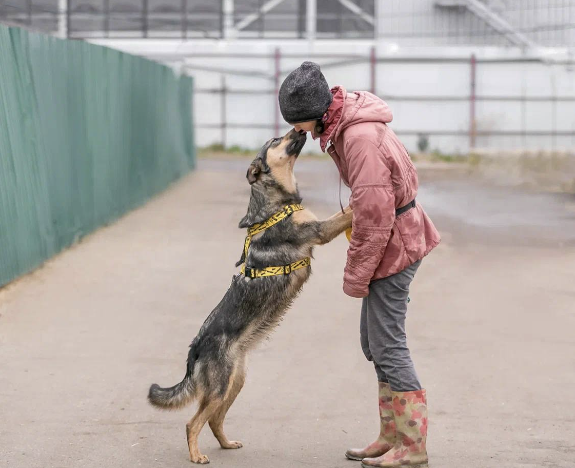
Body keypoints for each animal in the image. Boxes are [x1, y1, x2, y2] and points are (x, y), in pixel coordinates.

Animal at [147, 128, 356, 464]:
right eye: (275, 141)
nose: (298, 129)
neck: (275, 203)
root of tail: (195, 350)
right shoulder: (320, 231)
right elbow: (344, 215)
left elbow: (348, 211)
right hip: (220, 387)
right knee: (193, 422)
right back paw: (196, 455)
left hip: (235, 383)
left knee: (214, 420)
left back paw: (226, 444)